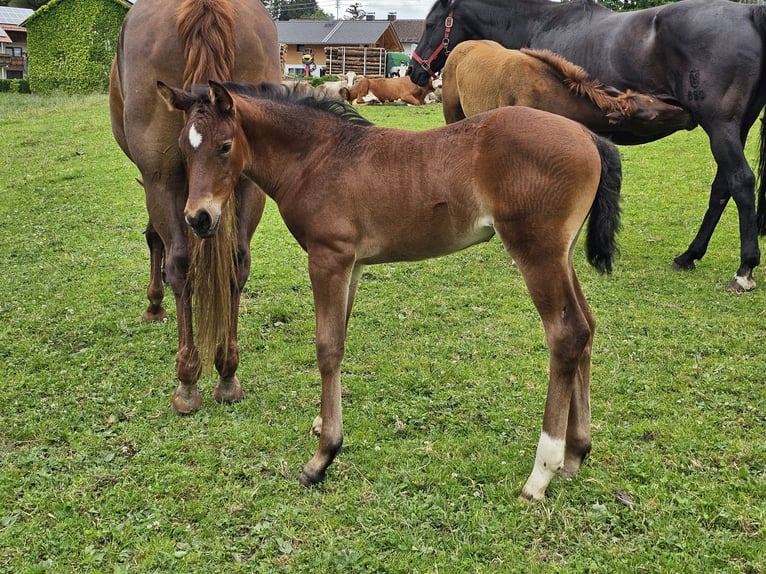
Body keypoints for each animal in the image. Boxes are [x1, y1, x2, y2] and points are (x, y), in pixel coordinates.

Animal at [111, 0, 282, 414]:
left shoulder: (157, 183)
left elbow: (156, 240)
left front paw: (154, 304)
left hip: (160, 178)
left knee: (180, 261)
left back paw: (187, 380)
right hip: (248, 183)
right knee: (237, 261)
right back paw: (227, 373)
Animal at [156, 79, 624, 502]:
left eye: (224, 146)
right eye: (184, 147)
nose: (198, 218)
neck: (318, 158)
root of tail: (588, 136)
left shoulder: (328, 258)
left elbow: (327, 347)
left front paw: (322, 457)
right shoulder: (353, 265)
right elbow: (340, 338)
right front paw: (322, 424)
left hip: (536, 254)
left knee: (566, 335)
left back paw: (540, 474)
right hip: (560, 256)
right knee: (586, 327)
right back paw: (575, 454)